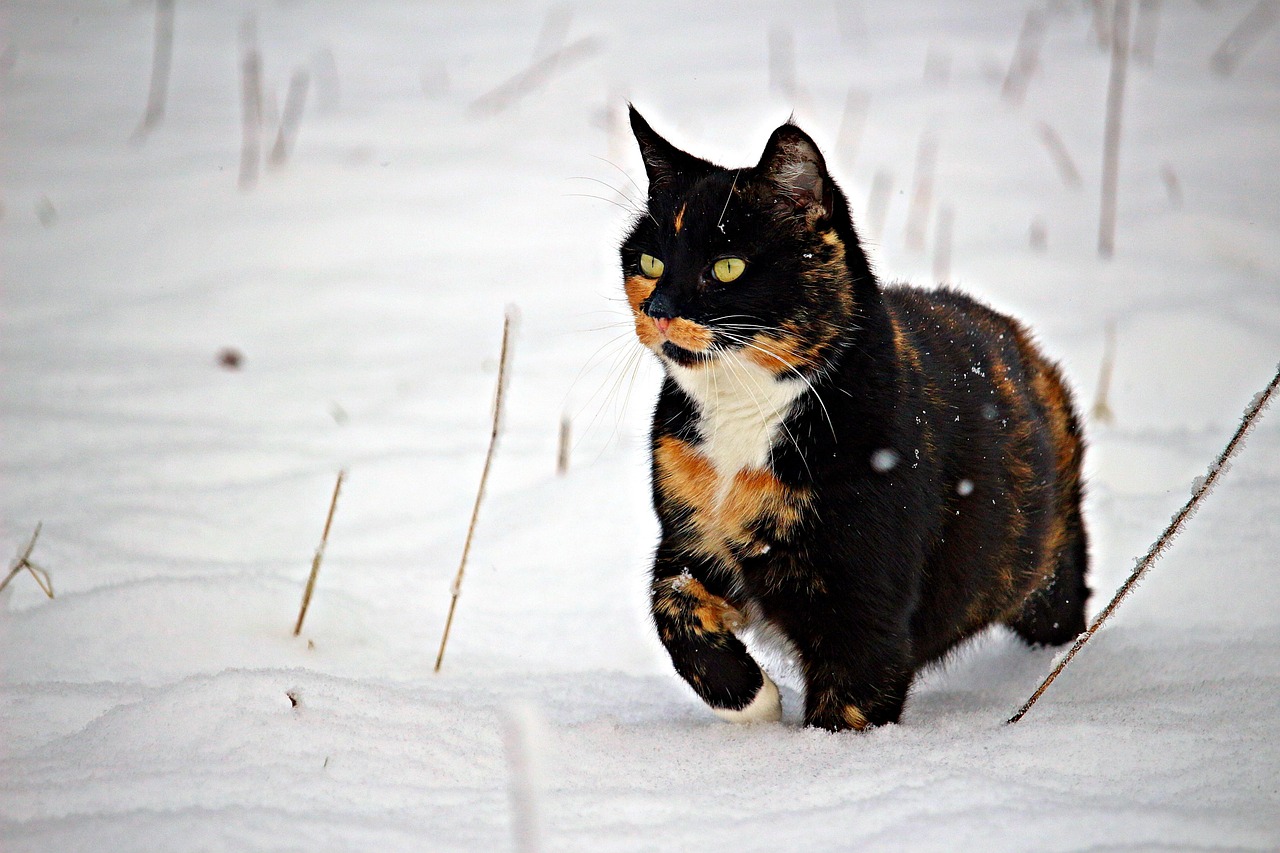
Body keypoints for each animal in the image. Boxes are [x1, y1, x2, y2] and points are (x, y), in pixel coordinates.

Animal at [619, 108, 1090, 732]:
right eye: (650, 262)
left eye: (727, 267)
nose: (659, 310)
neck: (743, 415)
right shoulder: (686, 532)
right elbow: (672, 603)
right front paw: (752, 702)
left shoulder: (865, 596)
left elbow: (852, 696)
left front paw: (825, 750)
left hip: (1044, 568)